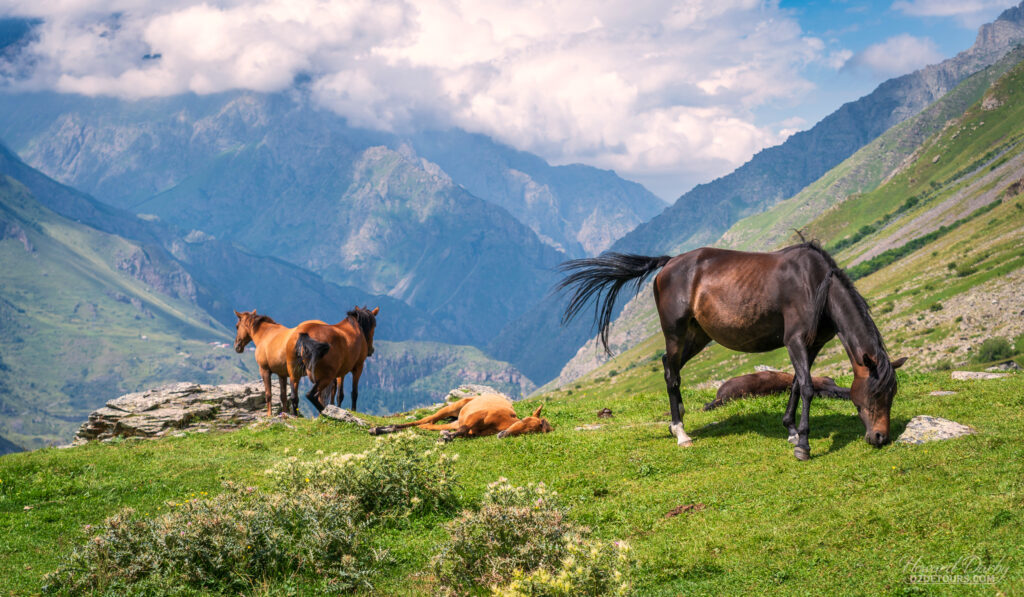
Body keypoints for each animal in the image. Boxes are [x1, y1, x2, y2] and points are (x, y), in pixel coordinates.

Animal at [368, 395, 552, 442]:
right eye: (522, 421)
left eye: (527, 433)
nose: (503, 434)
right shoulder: (478, 415)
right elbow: (464, 429)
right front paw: (445, 438)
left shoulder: (472, 431)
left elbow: (463, 432)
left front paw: (446, 437)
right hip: (451, 408)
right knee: (422, 421)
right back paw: (378, 429)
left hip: (453, 420)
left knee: (427, 425)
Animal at [561, 242, 905, 462]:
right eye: (874, 394)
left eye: (891, 394)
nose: (880, 438)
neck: (816, 285)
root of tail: (669, 263)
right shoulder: (795, 341)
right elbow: (807, 387)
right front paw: (803, 445)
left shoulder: (812, 344)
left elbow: (796, 384)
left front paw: (791, 430)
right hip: (675, 332)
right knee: (671, 372)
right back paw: (681, 433)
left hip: (698, 336)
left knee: (669, 366)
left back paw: (677, 420)